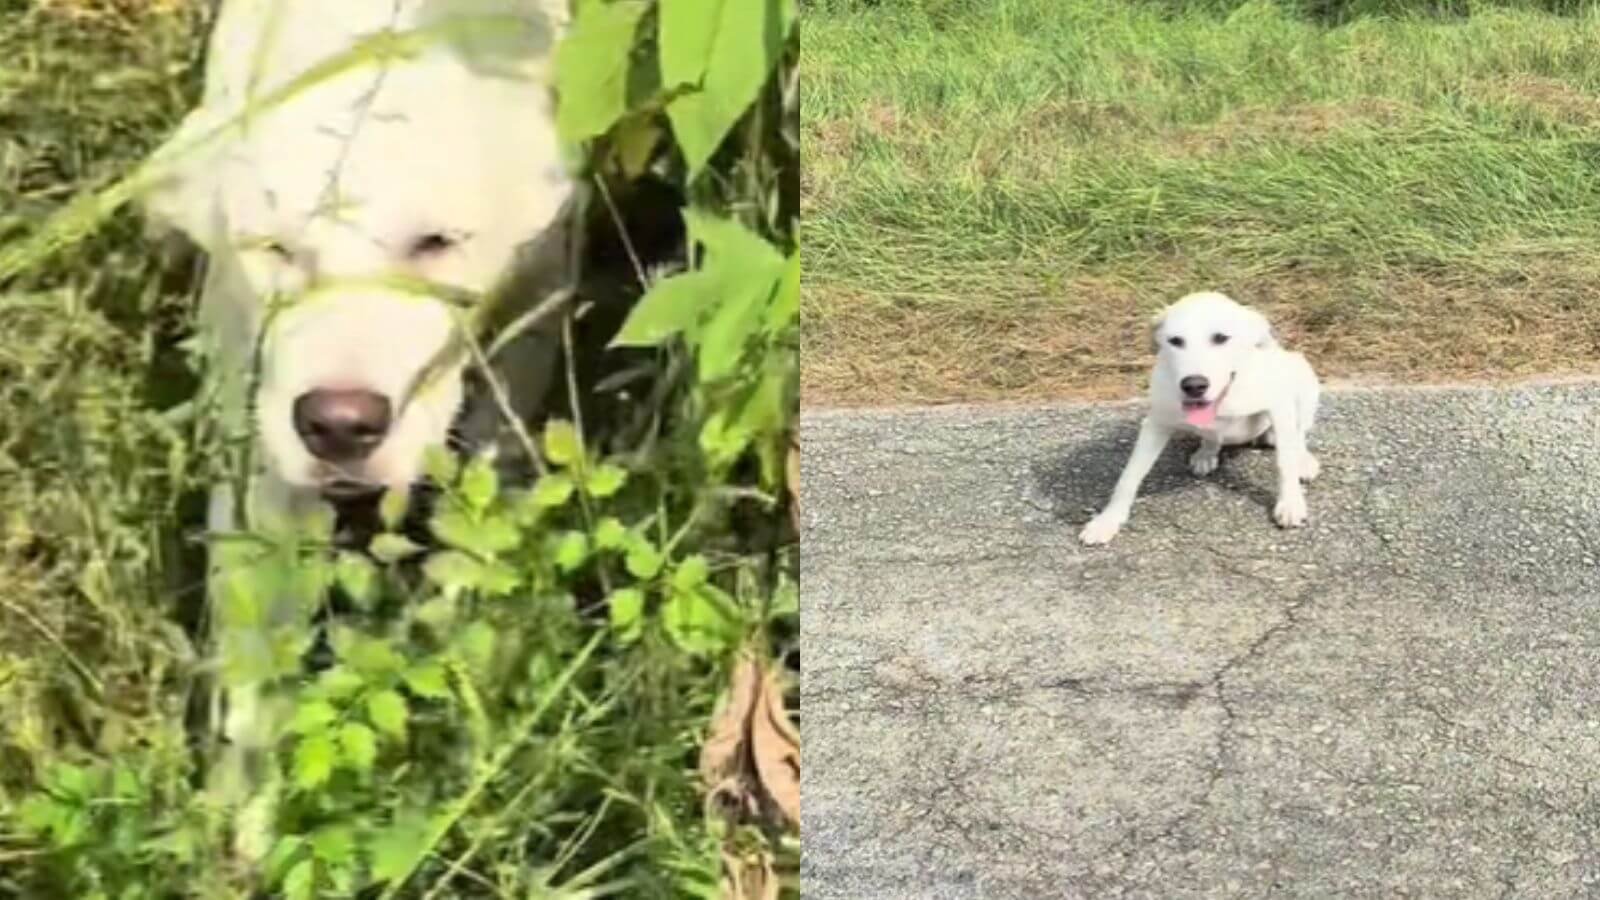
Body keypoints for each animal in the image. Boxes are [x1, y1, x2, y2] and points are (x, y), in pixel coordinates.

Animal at [1075, 291, 1324, 544]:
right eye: (1175, 341)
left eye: (1221, 338)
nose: (1194, 385)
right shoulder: (1156, 423)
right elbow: (1129, 475)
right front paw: (1108, 519)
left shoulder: (1279, 407)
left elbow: (1285, 462)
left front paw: (1290, 502)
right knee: (1212, 437)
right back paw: (1206, 453)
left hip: (1302, 378)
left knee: (1299, 433)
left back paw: (1303, 460)